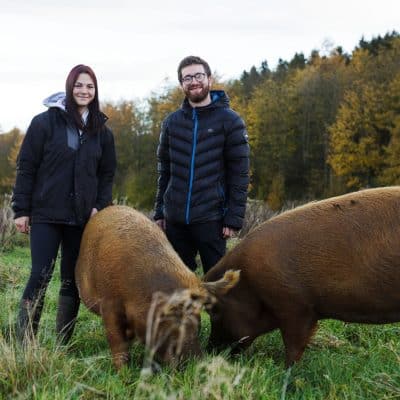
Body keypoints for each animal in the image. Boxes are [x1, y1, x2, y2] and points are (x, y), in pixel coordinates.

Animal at [74, 206, 238, 368]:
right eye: (171, 316)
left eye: (198, 316)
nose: (195, 362)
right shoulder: (109, 303)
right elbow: (117, 341)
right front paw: (122, 371)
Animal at [205, 186, 400, 368]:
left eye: (214, 310)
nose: (209, 351)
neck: (250, 285)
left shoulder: (296, 306)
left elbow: (294, 345)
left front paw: (286, 371)